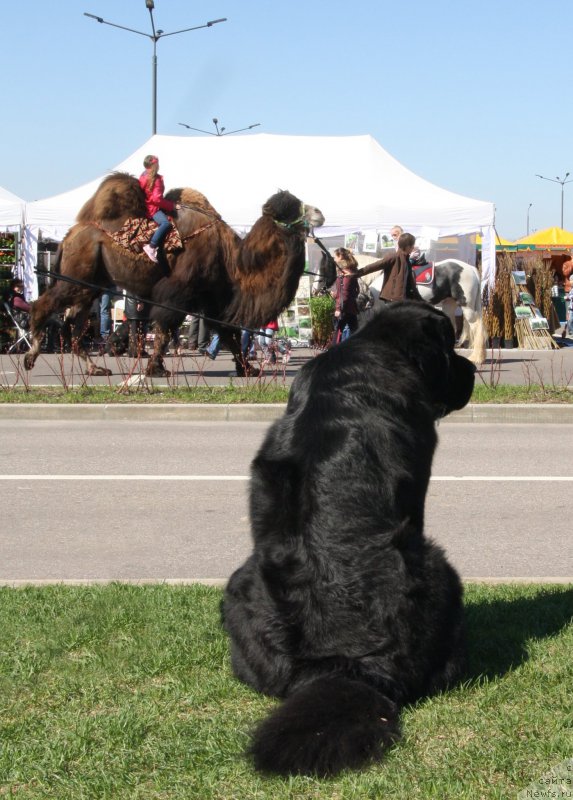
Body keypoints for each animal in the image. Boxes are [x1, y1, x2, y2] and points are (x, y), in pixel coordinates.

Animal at [24, 171, 324, 376]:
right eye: (291, 208)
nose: (319, 212)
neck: (231, 258)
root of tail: (68, 236)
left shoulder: (213, 295)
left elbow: (228, 331)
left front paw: (248, 369)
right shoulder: (178, 288)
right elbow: (166, 328)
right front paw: (157, 369)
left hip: (91, 283)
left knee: (74, 322)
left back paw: (95, 369)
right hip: (79, 274)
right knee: (44, 305)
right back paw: (31, 356)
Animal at [221, 300, 476, 776]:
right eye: (450, 349)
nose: (471, 368)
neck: (377, 346)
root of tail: (342, 667)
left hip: (238, 585)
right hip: (440, 569)